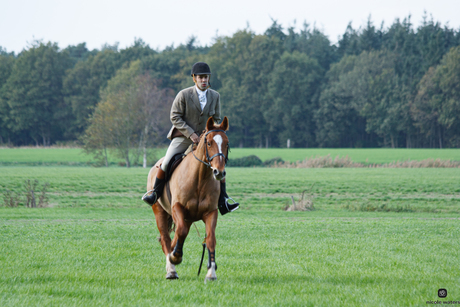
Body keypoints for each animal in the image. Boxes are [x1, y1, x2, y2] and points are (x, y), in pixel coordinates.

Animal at [146, 115, 230, 282]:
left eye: (227, 143)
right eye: (209, 143)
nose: (219, 172)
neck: (200, 178)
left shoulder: (211, 212)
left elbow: (210, 238)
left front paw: (211, 272)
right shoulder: (177, 207)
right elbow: (181, 232)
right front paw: (175, 257)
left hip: (188, 218)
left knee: (175, 237)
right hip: (160, 212)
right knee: (166, 239)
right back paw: (171, 270)